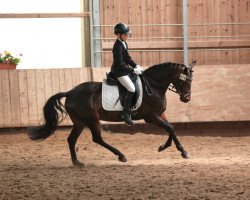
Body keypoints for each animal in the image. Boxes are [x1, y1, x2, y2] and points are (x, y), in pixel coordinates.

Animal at [26, 60, 195, 166]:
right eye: (186, 80)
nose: (186, 99)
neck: (153, 85)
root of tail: (70, 92)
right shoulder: (151, 117)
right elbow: (170, 128)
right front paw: (177, 150)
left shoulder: (160, 115)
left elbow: (171, 129)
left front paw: (171, 148)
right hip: (92, 119)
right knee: (97, 139)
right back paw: (121, 156)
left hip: (80, 122)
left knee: (71, 139)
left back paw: (77, 163)